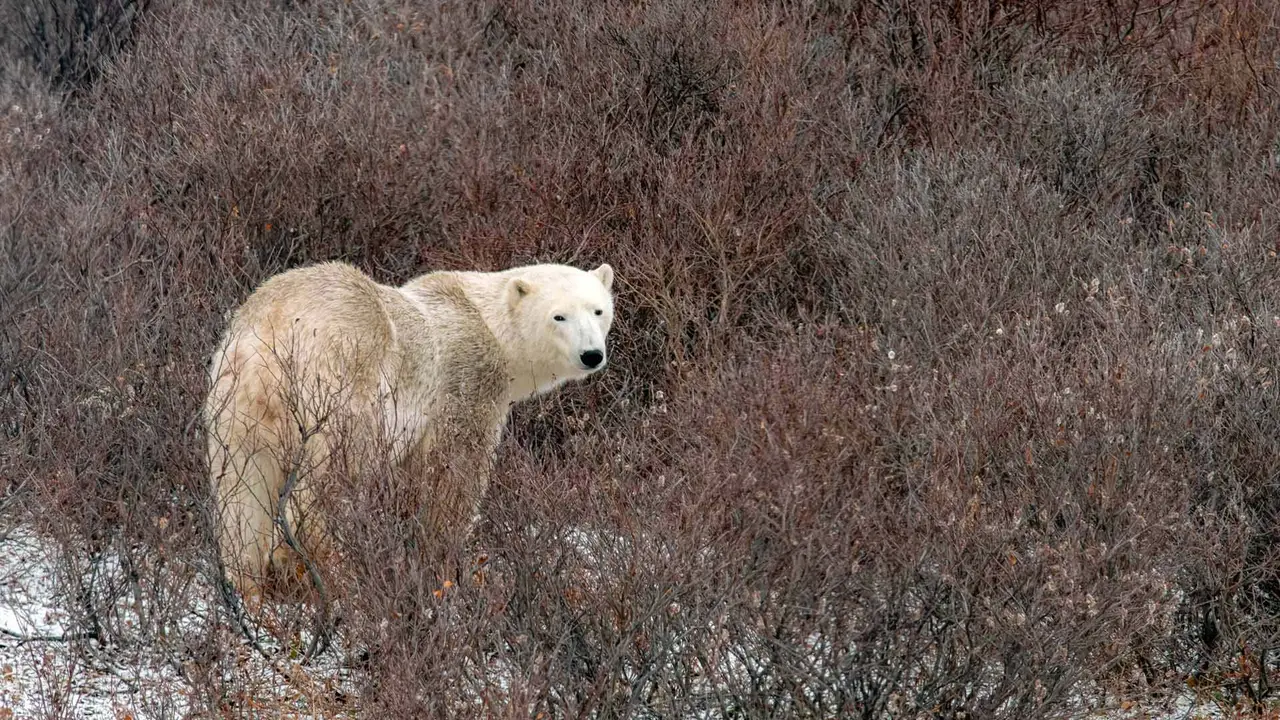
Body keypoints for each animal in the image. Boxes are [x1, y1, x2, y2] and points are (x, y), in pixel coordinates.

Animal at [202, 260, 615, 600]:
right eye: (558, 316)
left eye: (598, 310)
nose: (591, 354)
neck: (488, 325)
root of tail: (272, 335)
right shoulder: (467, 382)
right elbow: (454, 475)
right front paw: (444, 560)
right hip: (341, 384)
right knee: (330, 476)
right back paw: (333, 569)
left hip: (236, 403)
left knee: (241, 493)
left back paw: (250, 588)